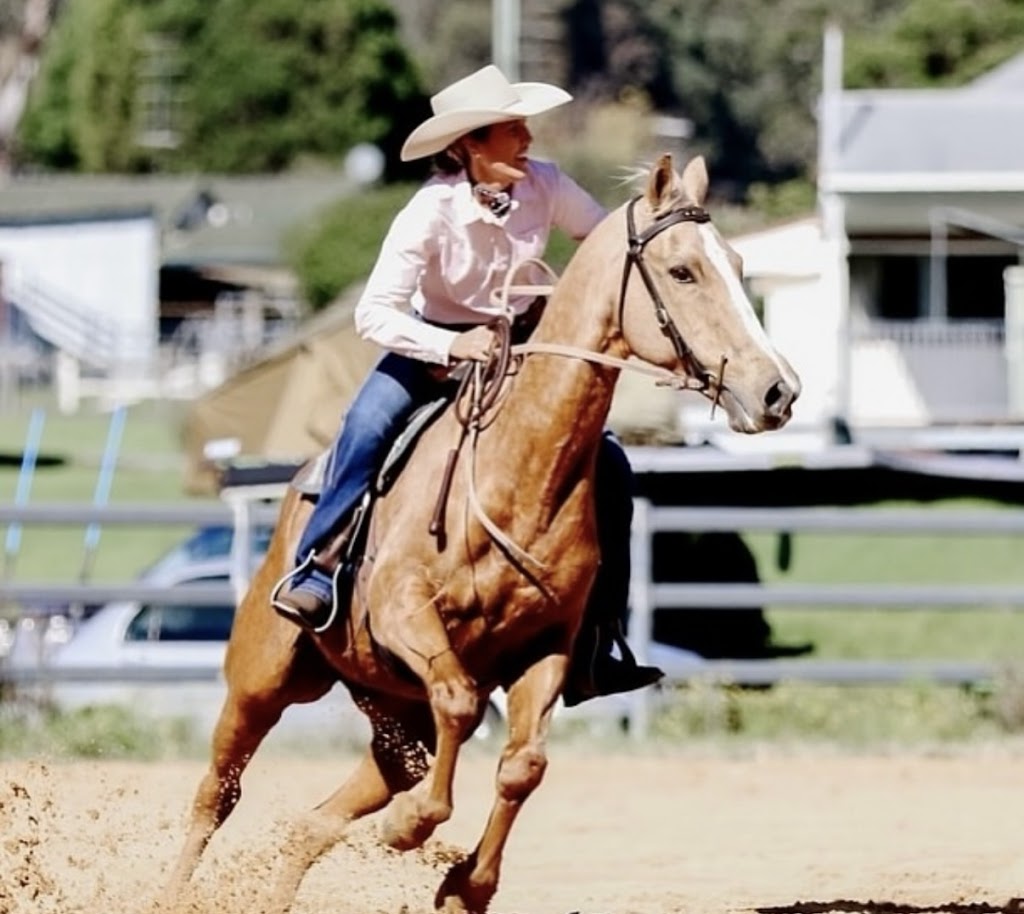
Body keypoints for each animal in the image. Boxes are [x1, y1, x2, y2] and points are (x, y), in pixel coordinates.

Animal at [161, 153, 801, 914]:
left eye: (736, 263)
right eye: (682, 272)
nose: (778, 391)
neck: (520, 469)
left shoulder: (547, 649)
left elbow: (523, 764)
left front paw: (467, 883)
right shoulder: (406, 613)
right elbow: (463, 703)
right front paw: (412, 831)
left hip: (392, 710)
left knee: (321, 816)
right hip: (261, 679)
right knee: (217, 793)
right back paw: (168, 892)